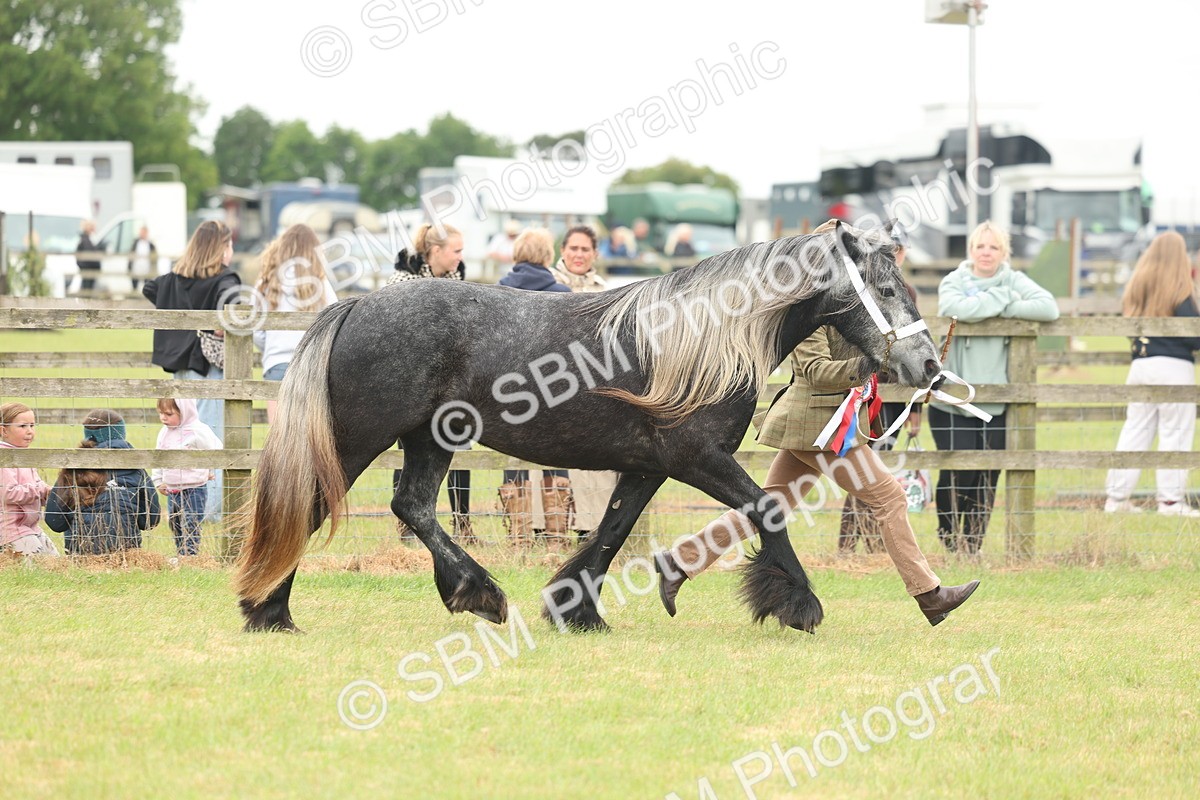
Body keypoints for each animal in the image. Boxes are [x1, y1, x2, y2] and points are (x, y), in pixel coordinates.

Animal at [233, 221, 942, 634]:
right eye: (885, 287)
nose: (929, 366)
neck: (706, 337)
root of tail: (358, 304)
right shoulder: (697, 457)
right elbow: (765, 509)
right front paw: (800, 606)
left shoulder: (648, 465)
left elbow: (610, 531)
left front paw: (575, 610)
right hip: (361, 438)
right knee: (315, 505)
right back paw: (274, 611)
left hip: (432, 440)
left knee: (411, 505)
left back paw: (468, 593)